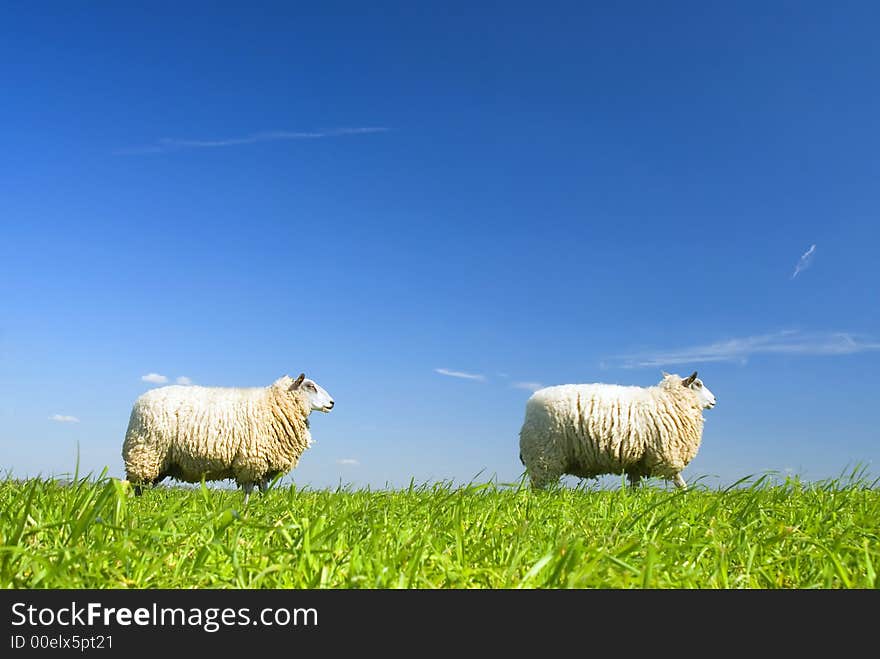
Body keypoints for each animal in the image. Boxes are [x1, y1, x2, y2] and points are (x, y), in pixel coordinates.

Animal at [120, 372, 334, 506]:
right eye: (310, 386)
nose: (332, 403)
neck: (274, 403)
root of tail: (139, 402)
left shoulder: (264, 463)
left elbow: (264, 489)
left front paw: (265, 507)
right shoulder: (251, 460)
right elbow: (248, 490)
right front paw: (245, 511)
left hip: (159, 461)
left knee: (141, 486)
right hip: (145, 452)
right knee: (133, 484)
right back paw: (134, 507)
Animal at [516, 372, 716, 490]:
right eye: (698, 384)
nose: (715, 400)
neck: (669, 399)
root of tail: (529, 408)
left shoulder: (638, 461)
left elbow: (635, 486)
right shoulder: (665, 454)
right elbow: (679, 480)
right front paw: (685, 497)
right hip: (544, 455)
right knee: (538, 489)